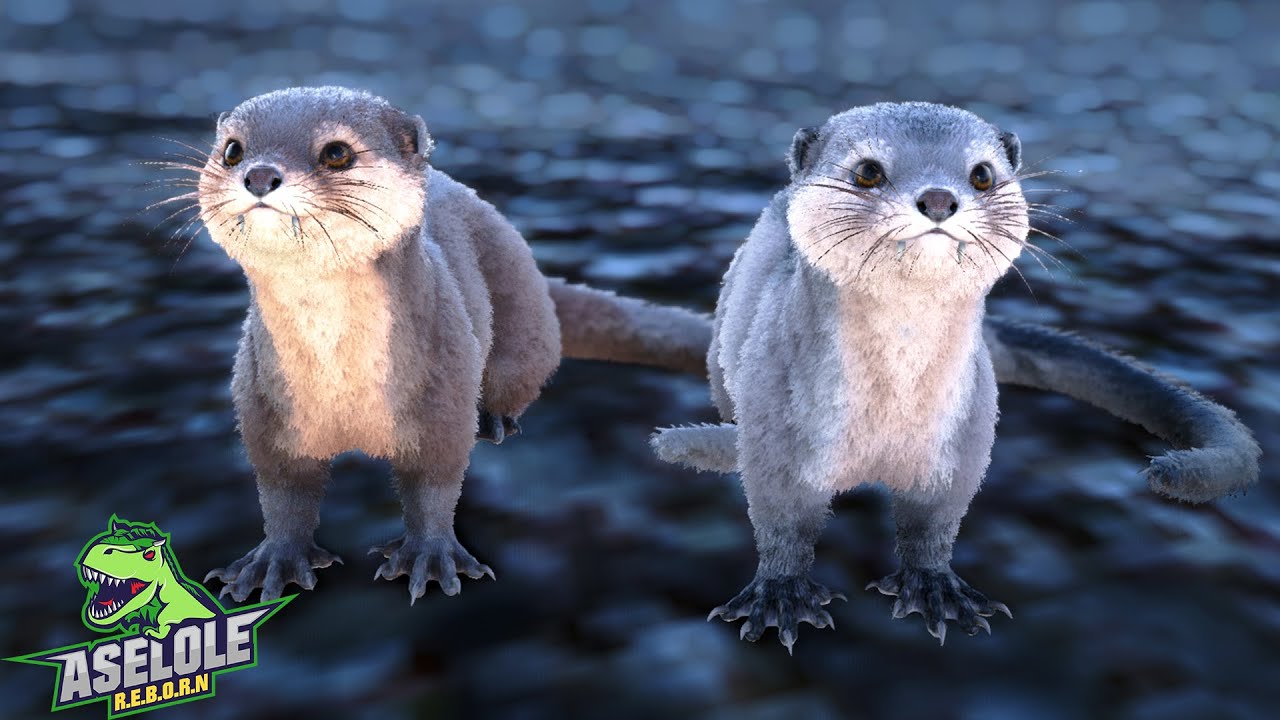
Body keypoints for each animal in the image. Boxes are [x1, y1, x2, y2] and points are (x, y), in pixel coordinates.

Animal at [188, 87, 710, 604]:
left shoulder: (444, 384)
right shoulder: (263, 401)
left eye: (337, 152)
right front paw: (273, 563)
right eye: (232, 150)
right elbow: (282, 491)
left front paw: (430, 558)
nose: (260, 175)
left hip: (521, 316)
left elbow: (435, 481)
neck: (343, 384)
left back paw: (496, 420)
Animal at [650, 102, 1260, 651]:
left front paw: (935, 587)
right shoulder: (779, 424)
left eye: (982, 173)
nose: (940, 199)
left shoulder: (964, 436)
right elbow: (780, 517)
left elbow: (936, 519)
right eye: (868, 170)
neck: (886, 413)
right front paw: (780, 595)